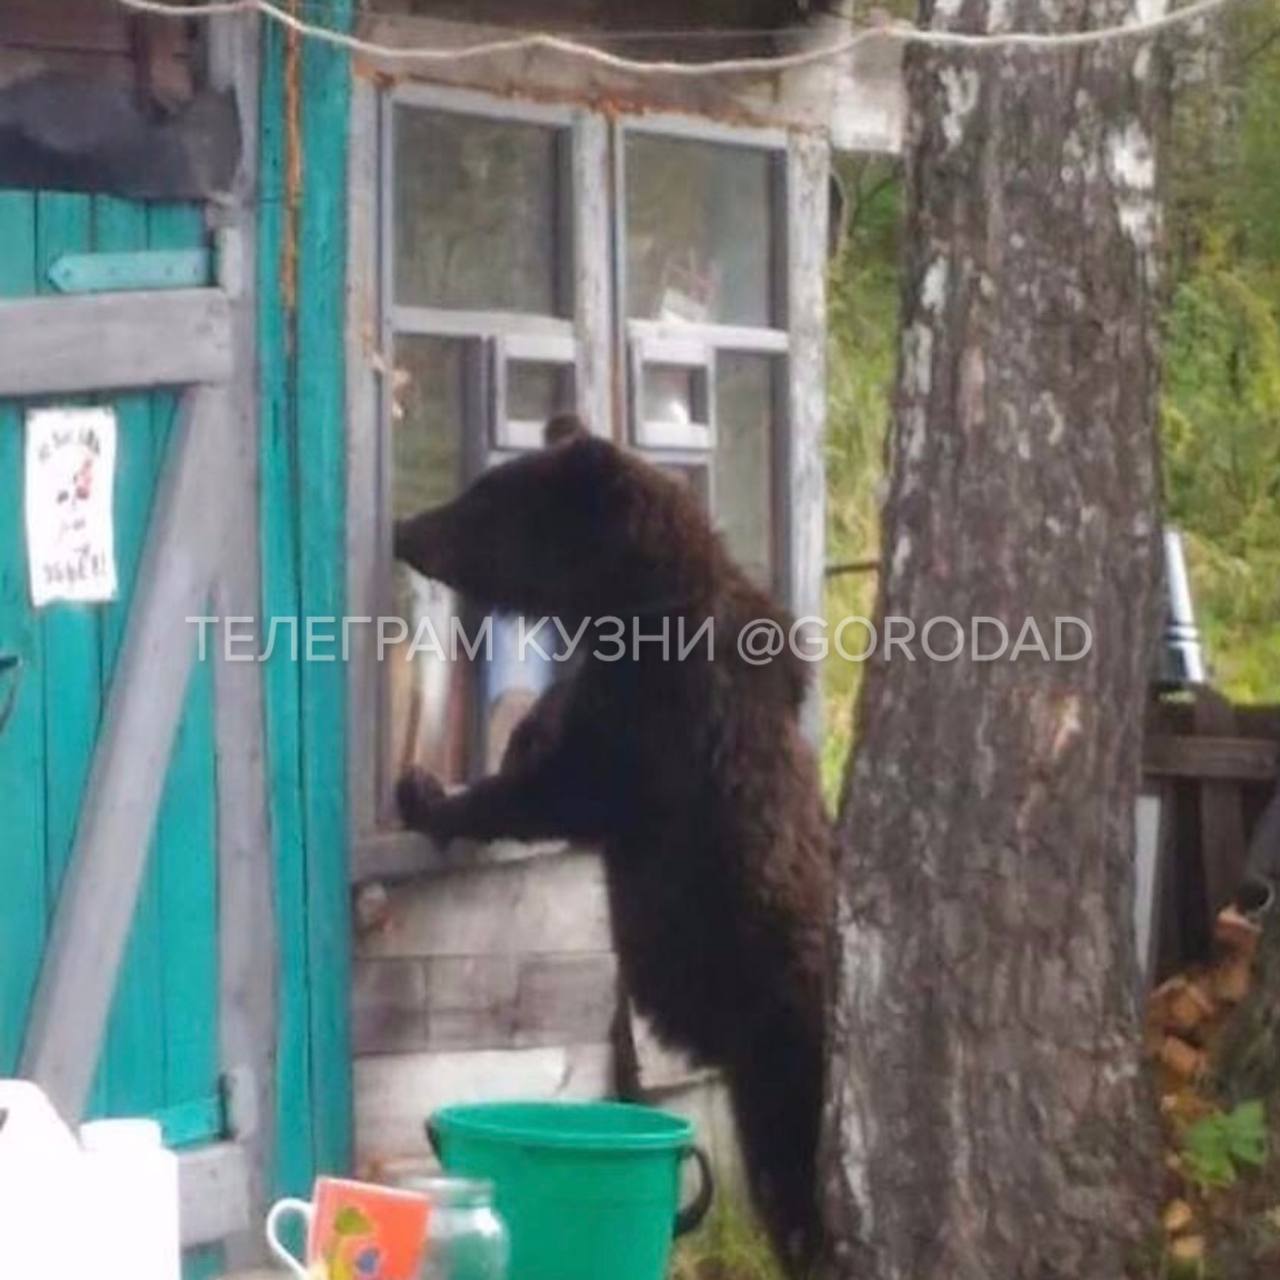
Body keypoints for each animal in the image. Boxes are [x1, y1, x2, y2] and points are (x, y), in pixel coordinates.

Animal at [399, 414, 839, 1264]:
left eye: (485, 501)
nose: (406, 528)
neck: (626, 603)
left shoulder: (659, 724)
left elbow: (563, 789)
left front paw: (428, 795)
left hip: (782, 1056)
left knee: (791, 1187)